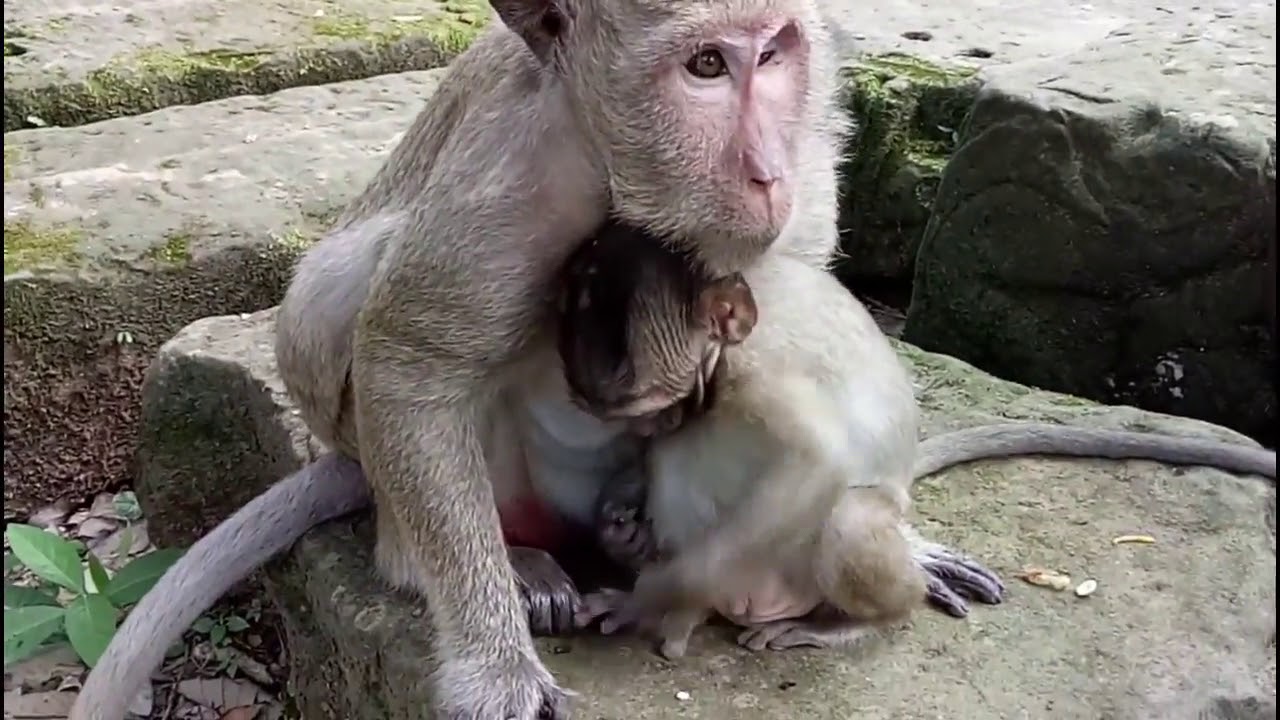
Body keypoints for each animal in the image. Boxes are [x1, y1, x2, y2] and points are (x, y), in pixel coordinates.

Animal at [68, 1, 1277, 717]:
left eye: (772, 55)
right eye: (703, 65)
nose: (761, 169)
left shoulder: (820, 134)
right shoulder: (518, 172)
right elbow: (410, 350)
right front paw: (494, 667)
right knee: (346, 291)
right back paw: (489, 562)